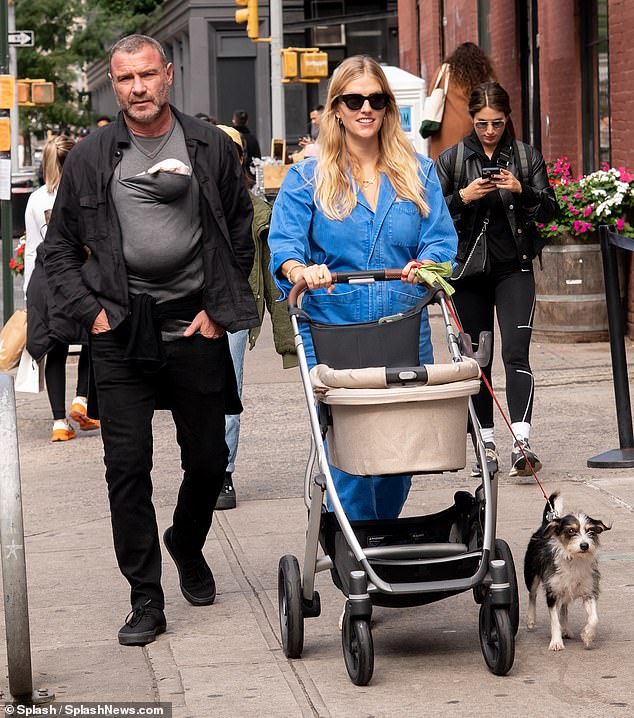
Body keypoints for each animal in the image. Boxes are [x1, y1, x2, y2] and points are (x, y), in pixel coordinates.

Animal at [524, 496, 608, 652]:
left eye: (590, 531)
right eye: (571, 531)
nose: (584, 545)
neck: (574, 558)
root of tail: (545, 524)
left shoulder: (589, 592)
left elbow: (594, 618)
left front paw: (587, 636)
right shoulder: (552, 593)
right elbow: (554, 621)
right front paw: (556, 642)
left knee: (564, 607)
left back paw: (565, 629)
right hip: (532, 576)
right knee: (532, 595)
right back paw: (531, 620)